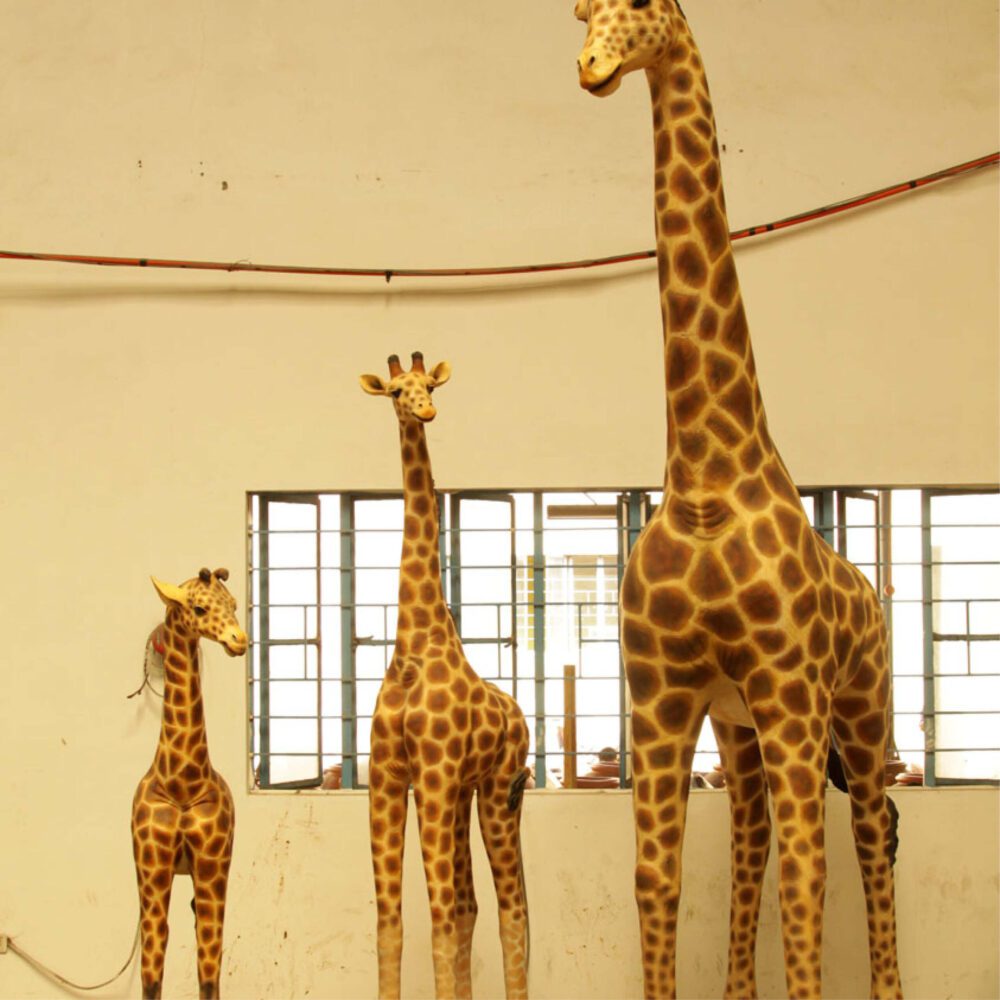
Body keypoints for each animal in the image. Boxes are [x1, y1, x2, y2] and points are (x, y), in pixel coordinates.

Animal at [131, 567, 247, 999]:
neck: (182, 782)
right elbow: (151, 972)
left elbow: (209, 968)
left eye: (233, 604)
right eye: (198, 608)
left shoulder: (213, 867)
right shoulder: (152, 870)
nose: (239, 639)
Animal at [360, 352, 531, 1000]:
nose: (425, 410)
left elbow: (438, 917)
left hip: (499, 792)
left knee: (511, 908)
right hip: (464, 793)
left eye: (430, 385)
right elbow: (392, 922)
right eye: (396, 390)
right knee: (472, 905)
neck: (413, 644)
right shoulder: (388, 777)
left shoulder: (431, 778)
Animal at [573, 3, 902, 998]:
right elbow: (658, 877)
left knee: (870, 831)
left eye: (640, 11)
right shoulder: (664, 695)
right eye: (582, 13)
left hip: (858, 709)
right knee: (755, 832)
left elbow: (809, 873)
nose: (590, 67)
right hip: (741, 727)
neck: (707, 481)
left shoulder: (791, 690)